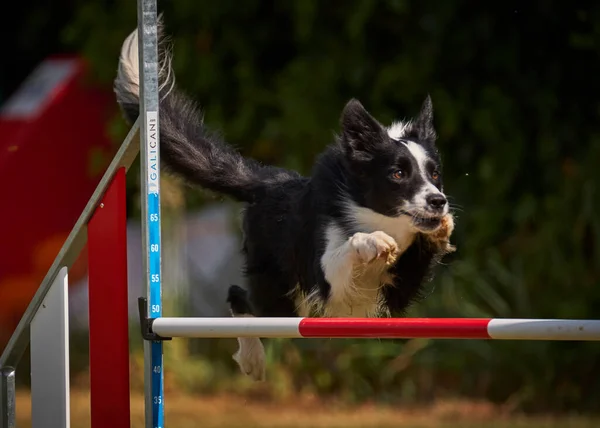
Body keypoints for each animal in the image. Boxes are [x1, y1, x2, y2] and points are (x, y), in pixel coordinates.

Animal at [113, 22, 454, 382]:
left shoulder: (394, 296)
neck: (377, 217)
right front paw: (372, 241)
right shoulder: (326, 282)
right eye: (398, 173)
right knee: (239, 296)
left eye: (435, 173)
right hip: (281, 299)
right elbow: (346, 250)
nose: (439, 201)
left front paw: (440, 232)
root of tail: (269, 182)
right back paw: (253, 359)